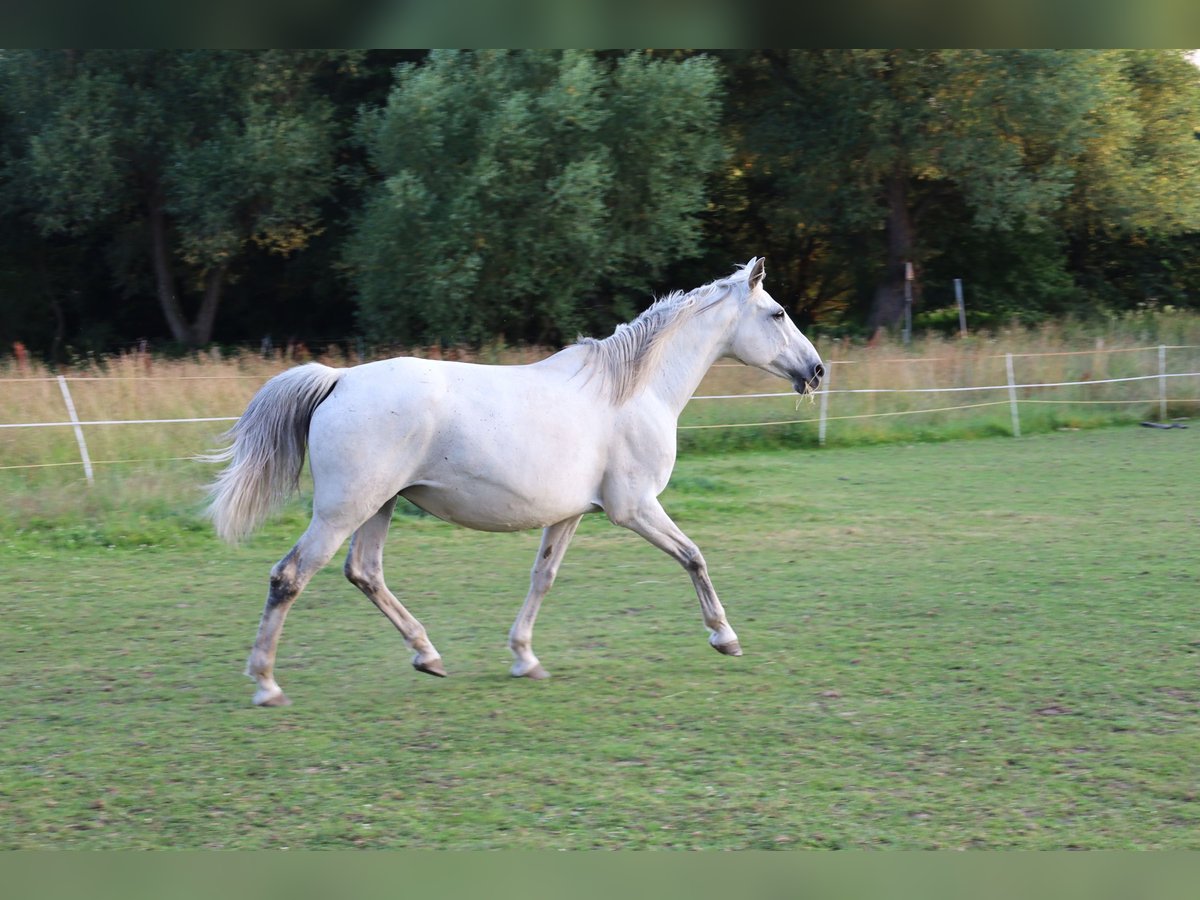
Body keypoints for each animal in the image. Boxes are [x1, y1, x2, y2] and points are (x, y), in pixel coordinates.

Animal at [208, 256, 825, 710]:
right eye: (777, 313)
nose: (817, 370)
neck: (632, 392)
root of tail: (339, 380)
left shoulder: (570, 514)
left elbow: (542, 578)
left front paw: (525, 658)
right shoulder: (634, 508)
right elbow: (694, 556)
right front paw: (725, 637)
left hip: (377, 507)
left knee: (365, 573)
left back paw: (428, 655)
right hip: (342, 510)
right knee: (289, 577)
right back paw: (266, 685)